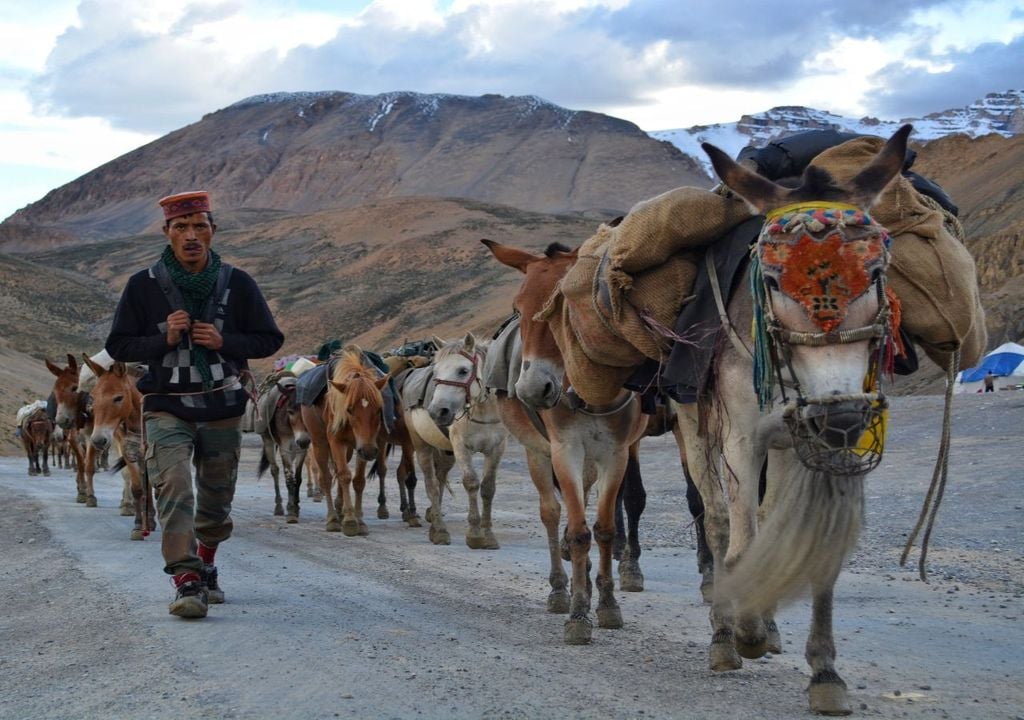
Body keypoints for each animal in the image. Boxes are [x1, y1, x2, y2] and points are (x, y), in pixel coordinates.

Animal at [82, 354, 153, 540]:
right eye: (93, 397)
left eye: (118, 398)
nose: (99, 440)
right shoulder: (126, 446)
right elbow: (137, 487)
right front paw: (138, 527)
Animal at [301, 348, 389, 536]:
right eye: (349, 409)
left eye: (379, 409)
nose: (370, 451)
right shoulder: (337, 442)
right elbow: (344, 476)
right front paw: (349, 521)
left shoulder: (363, 445)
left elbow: (358, 480)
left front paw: (359, 521)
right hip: (319, 443)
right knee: (326, 477)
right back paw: (333, 519)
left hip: (349, 449)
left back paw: (339, 509)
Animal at [403, 335, 507, 548]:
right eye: (436, 372)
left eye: (463, 371)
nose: (437, 412)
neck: (481, 411)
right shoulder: (461, 448)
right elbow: (471, 483)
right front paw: (474, 534)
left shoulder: (496, 449)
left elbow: (488, 488)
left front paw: (488, 535)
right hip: (422, 446)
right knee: (432, 485)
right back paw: (439, 531)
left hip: (445, 452)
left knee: (441, 479)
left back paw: (434, 521)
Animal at [483, 239, 643, 643]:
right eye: (518, 308)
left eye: (564, 308)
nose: (531, 389)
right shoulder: (565, 450)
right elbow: (578, 531)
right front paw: (578, 613)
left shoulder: (615, 454)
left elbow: (603, 530)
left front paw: (607, 604)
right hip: (538, 453)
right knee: (553, 514)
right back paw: (559, 588)